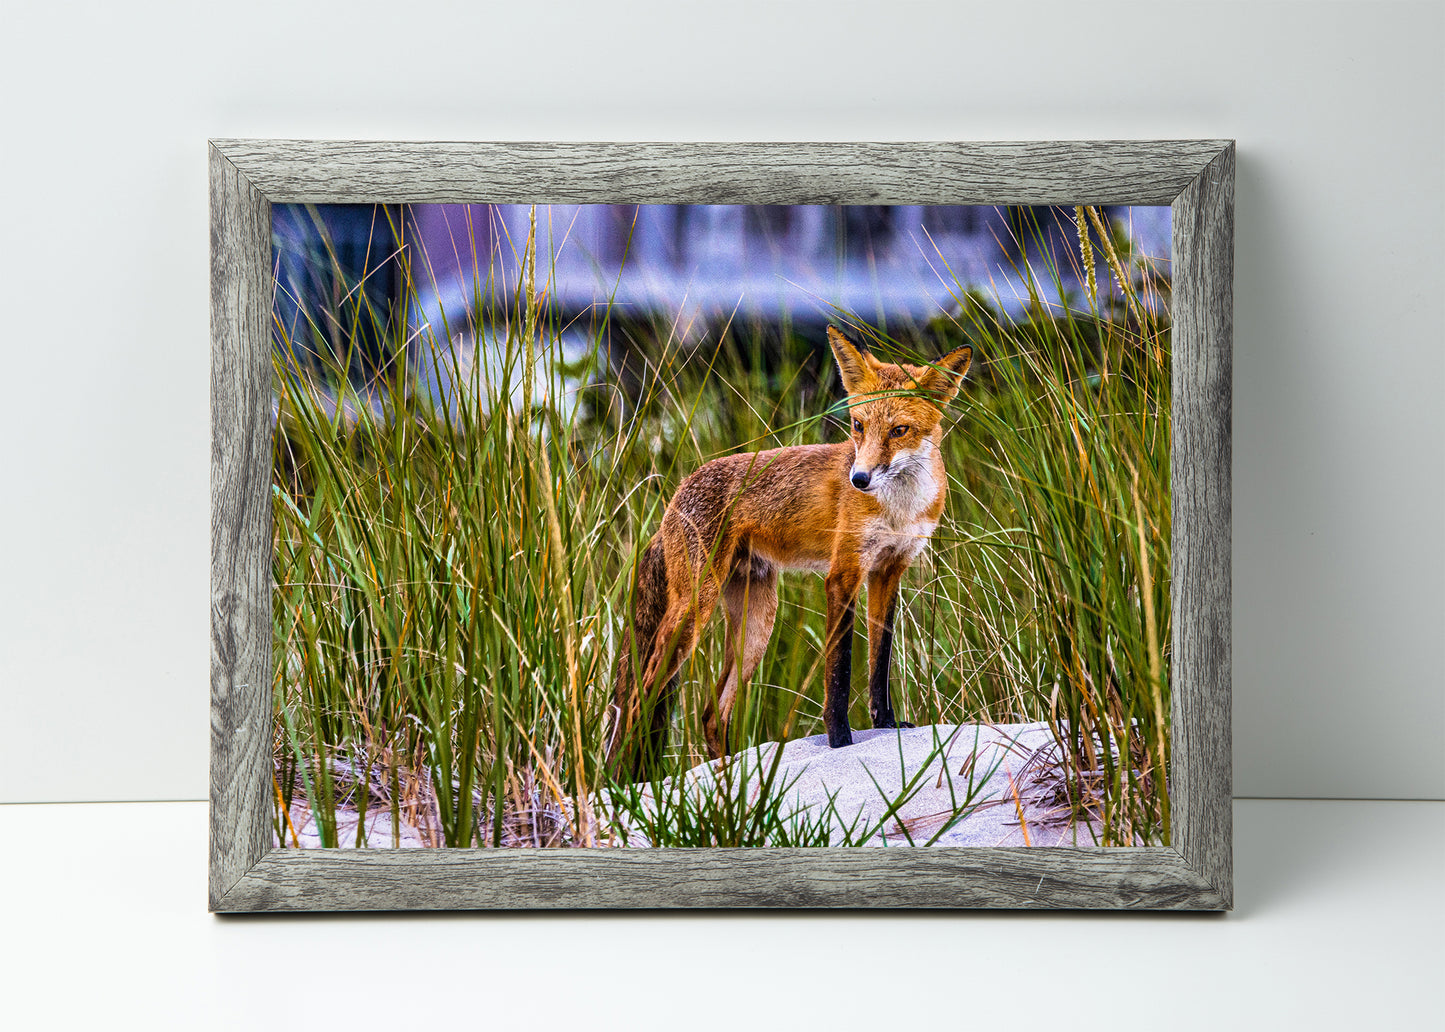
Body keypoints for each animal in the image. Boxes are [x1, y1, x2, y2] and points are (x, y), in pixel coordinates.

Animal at [607, 325, 973, 777]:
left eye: (899, 430)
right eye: (858, 425)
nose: (859, 479)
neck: (898, 508)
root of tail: (673, 500)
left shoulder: (889, 570)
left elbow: (880, 662)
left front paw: (887, 724)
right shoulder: (844, 573)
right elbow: (839, 671)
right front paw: (839, 741)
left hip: (757, 624)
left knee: (711, 713)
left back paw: (730, 779)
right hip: (693, 612)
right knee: (638, 703)